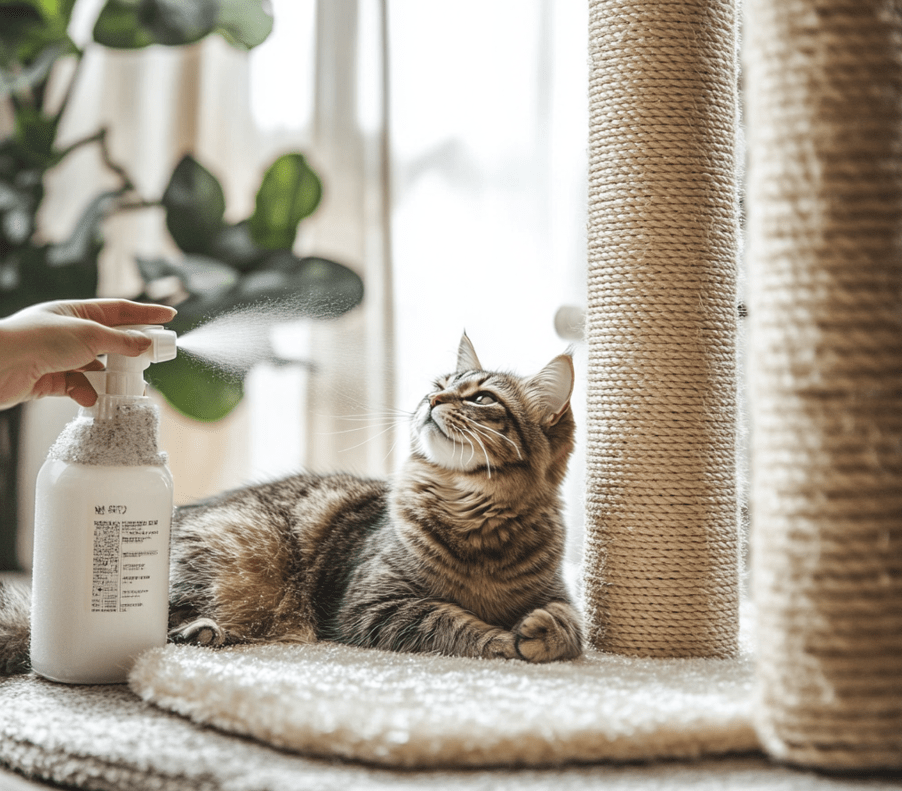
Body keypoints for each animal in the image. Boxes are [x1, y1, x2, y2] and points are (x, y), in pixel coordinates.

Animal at [0, 334, 588, 676]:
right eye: (439, 384)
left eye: (482, 398)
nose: (431, 400)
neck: (474, 515)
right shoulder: (377, 606)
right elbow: (454, 621)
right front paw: (505, 640)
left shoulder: (557, 594)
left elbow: (570, 625)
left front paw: (540, 633)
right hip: (237, 550)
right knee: (159, 626)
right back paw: (198, 633)